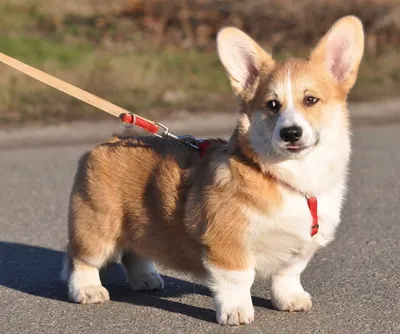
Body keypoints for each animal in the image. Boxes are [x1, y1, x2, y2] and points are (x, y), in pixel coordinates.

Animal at [61, 16, 362, 326]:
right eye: (272, 105)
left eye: (311, 100)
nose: (290, 133)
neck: (288, 176)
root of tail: (105, 144)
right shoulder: (227, 244)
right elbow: (237, 280)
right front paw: (236, 312)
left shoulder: (297, 249)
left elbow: (287, 274)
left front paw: (290, 299)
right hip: (98, 227)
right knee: (79, 257)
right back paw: (87, 289)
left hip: (139, 224)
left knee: (135, 252)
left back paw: (146, 278)